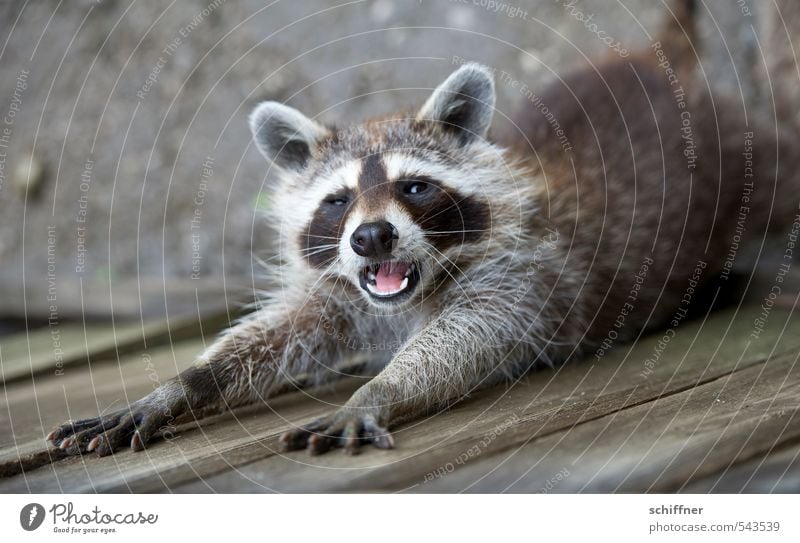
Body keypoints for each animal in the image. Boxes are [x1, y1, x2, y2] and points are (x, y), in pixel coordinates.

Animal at [48, 2, 800, 456]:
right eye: (338, 201)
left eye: (414, 187)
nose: (372, 238)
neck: (406, 295)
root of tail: (655, 63)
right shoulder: (340, 290)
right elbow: (279, 332)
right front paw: (184, 383)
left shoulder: (520, 279)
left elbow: (464, 339)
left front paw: (378, 389)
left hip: (745, 156)